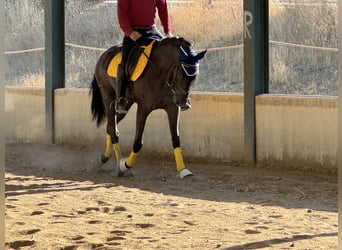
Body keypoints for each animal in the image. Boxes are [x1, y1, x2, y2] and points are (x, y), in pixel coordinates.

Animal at [89, 36, 206, 178]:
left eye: (193, 78)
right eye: (182, 74)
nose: (182, 102)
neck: (160, 72)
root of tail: (104, 55)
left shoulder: (172, 108)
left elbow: (176, 139)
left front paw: (183, 170)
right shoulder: (143, 109)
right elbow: (138, 143)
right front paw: (124, 166)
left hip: (125, 105)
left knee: (110, 127)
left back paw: (103, 158)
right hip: (108, 98)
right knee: (113, 131)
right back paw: (118, 167)